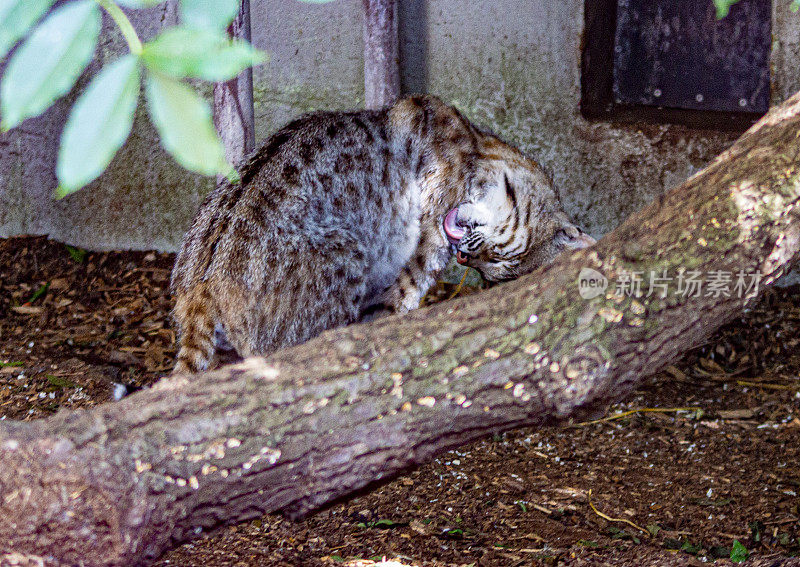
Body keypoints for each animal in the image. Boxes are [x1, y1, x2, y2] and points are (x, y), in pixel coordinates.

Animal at [170, 95, 592, 374]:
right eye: (499, 261)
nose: (463, 256)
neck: (479, 148)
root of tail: (200, 283)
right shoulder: (410, 266)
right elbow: (386, 325)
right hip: (347, 251)